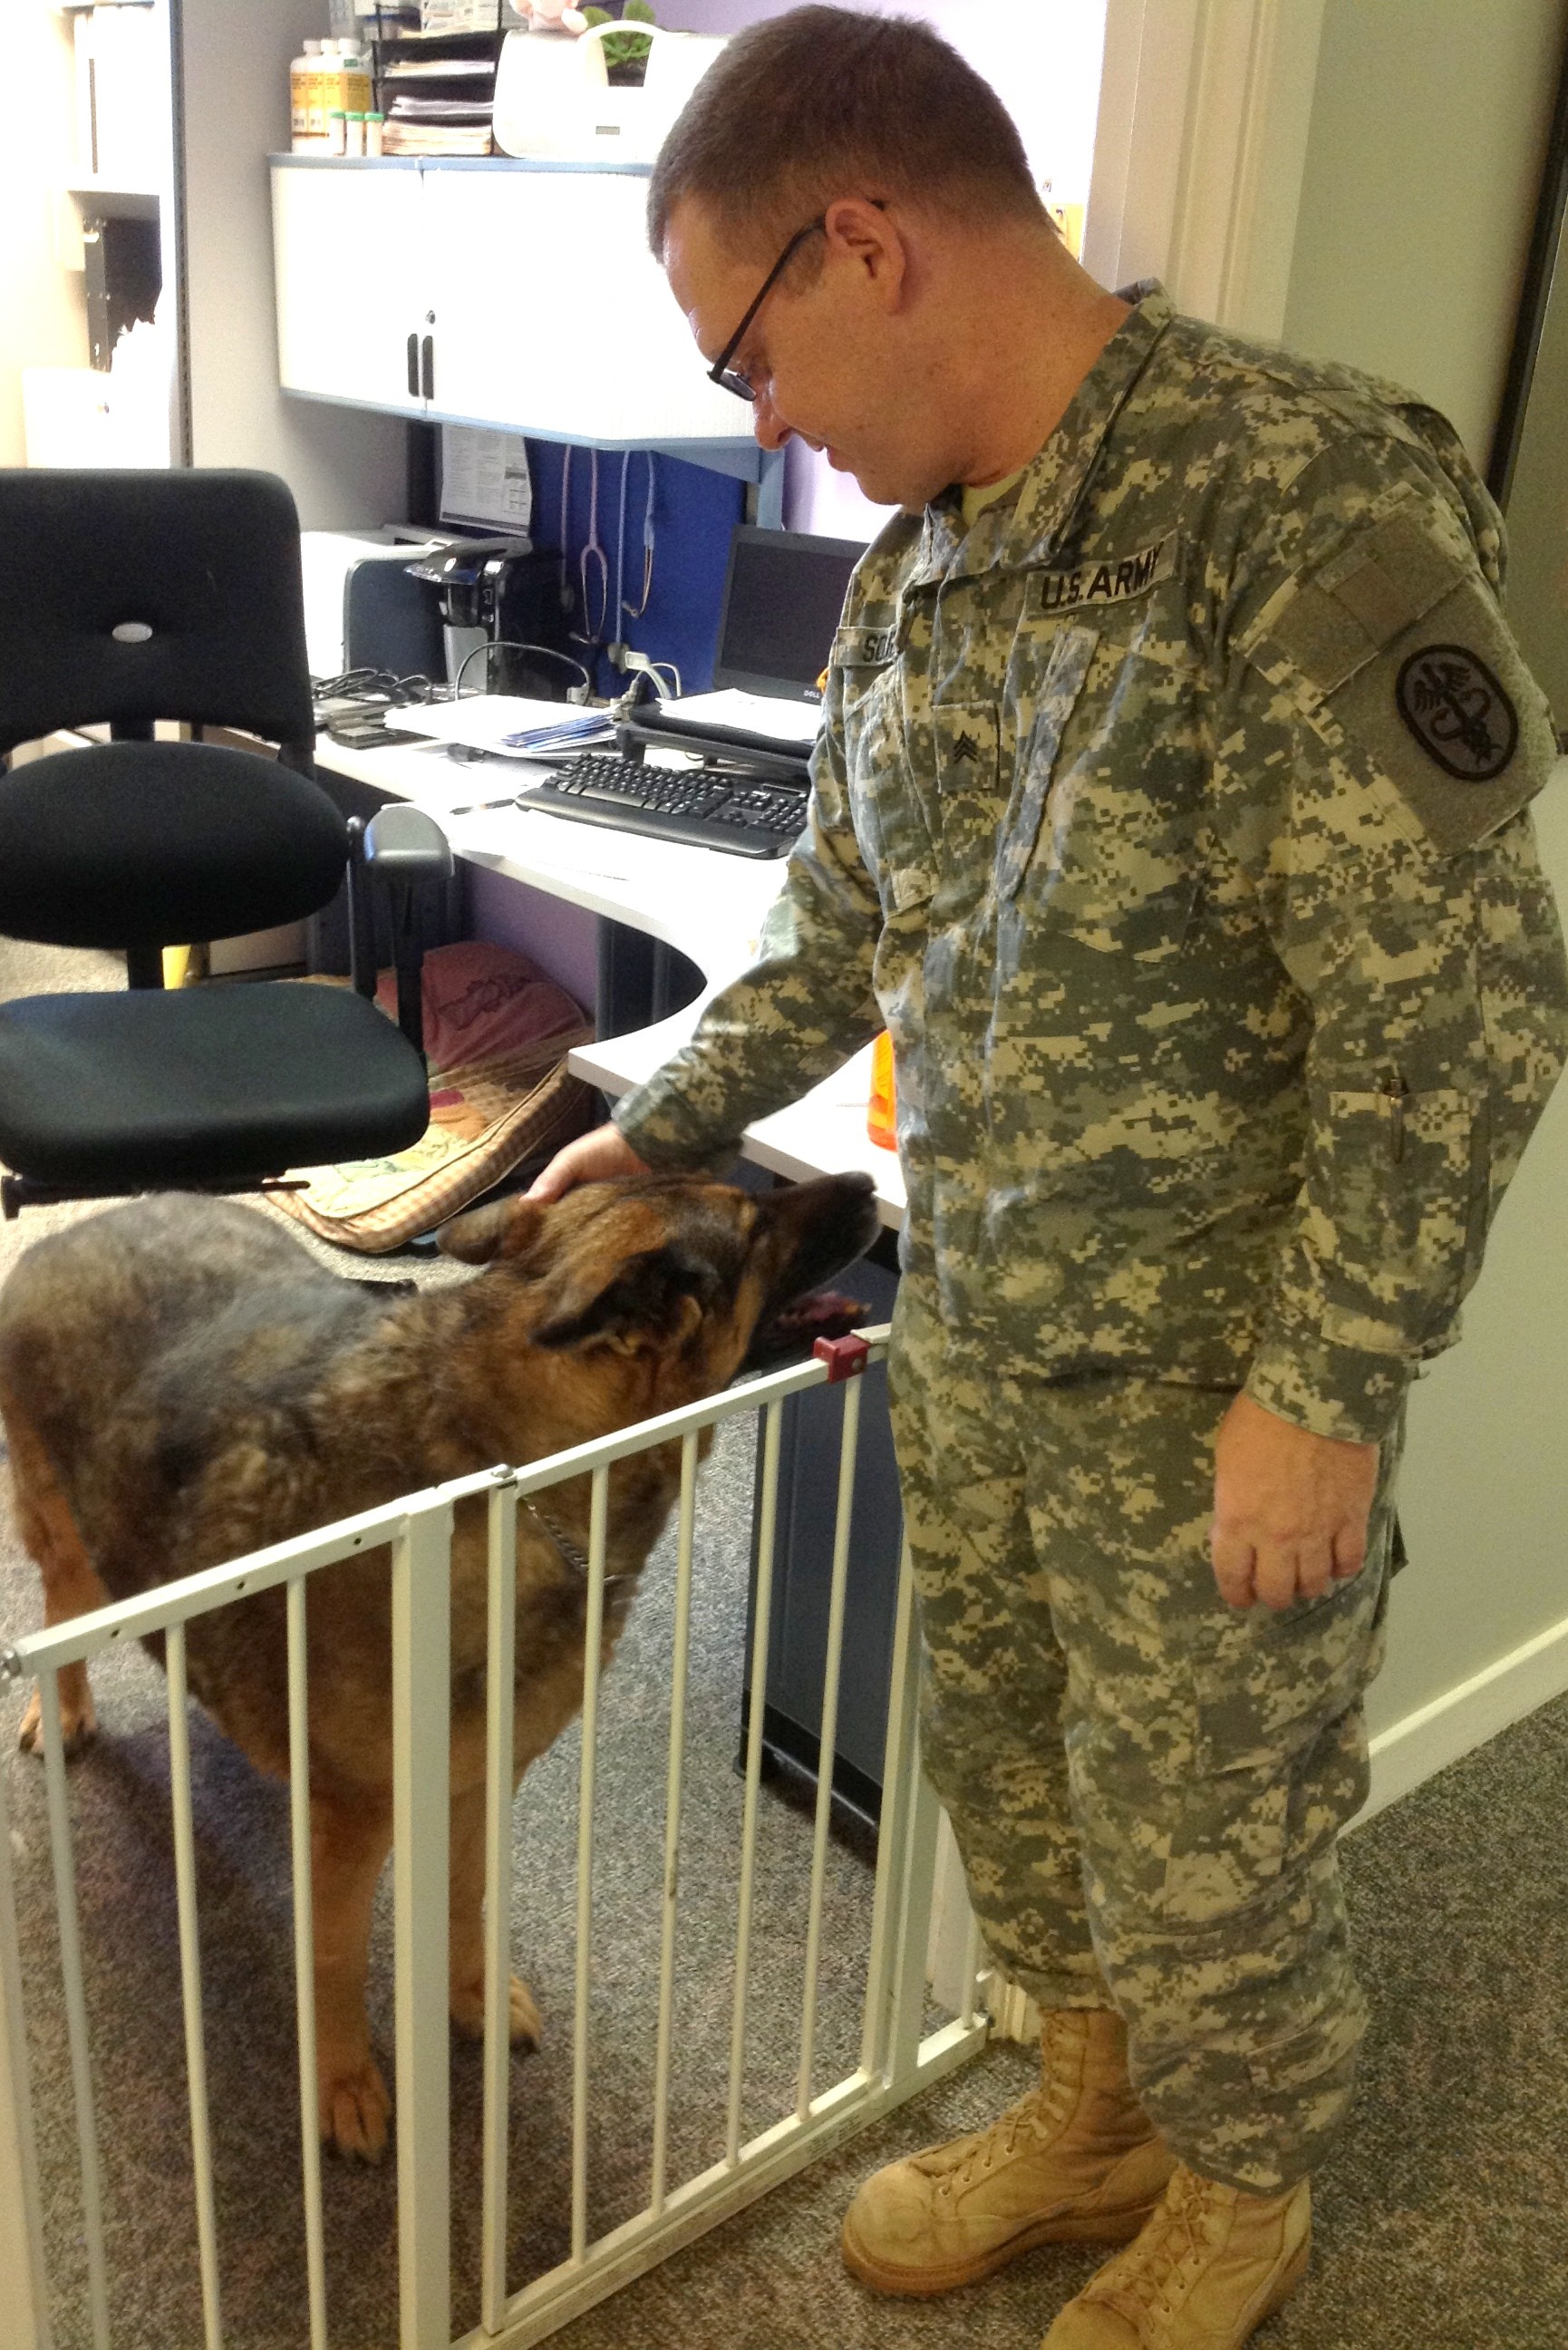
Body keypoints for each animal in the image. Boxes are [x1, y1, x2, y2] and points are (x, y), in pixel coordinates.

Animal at [0, 1175, 879, 2161]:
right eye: (754, 1225)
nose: (870, 1187)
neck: (516, 1475)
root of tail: (84, 1223)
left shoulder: (479, 1782)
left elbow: (466, 1903)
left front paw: (471, 2000)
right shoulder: (355, 1825)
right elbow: (336, 1961)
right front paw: (343, 2082)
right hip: (66, 1536)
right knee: (64, 1606)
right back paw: (62, 1709)